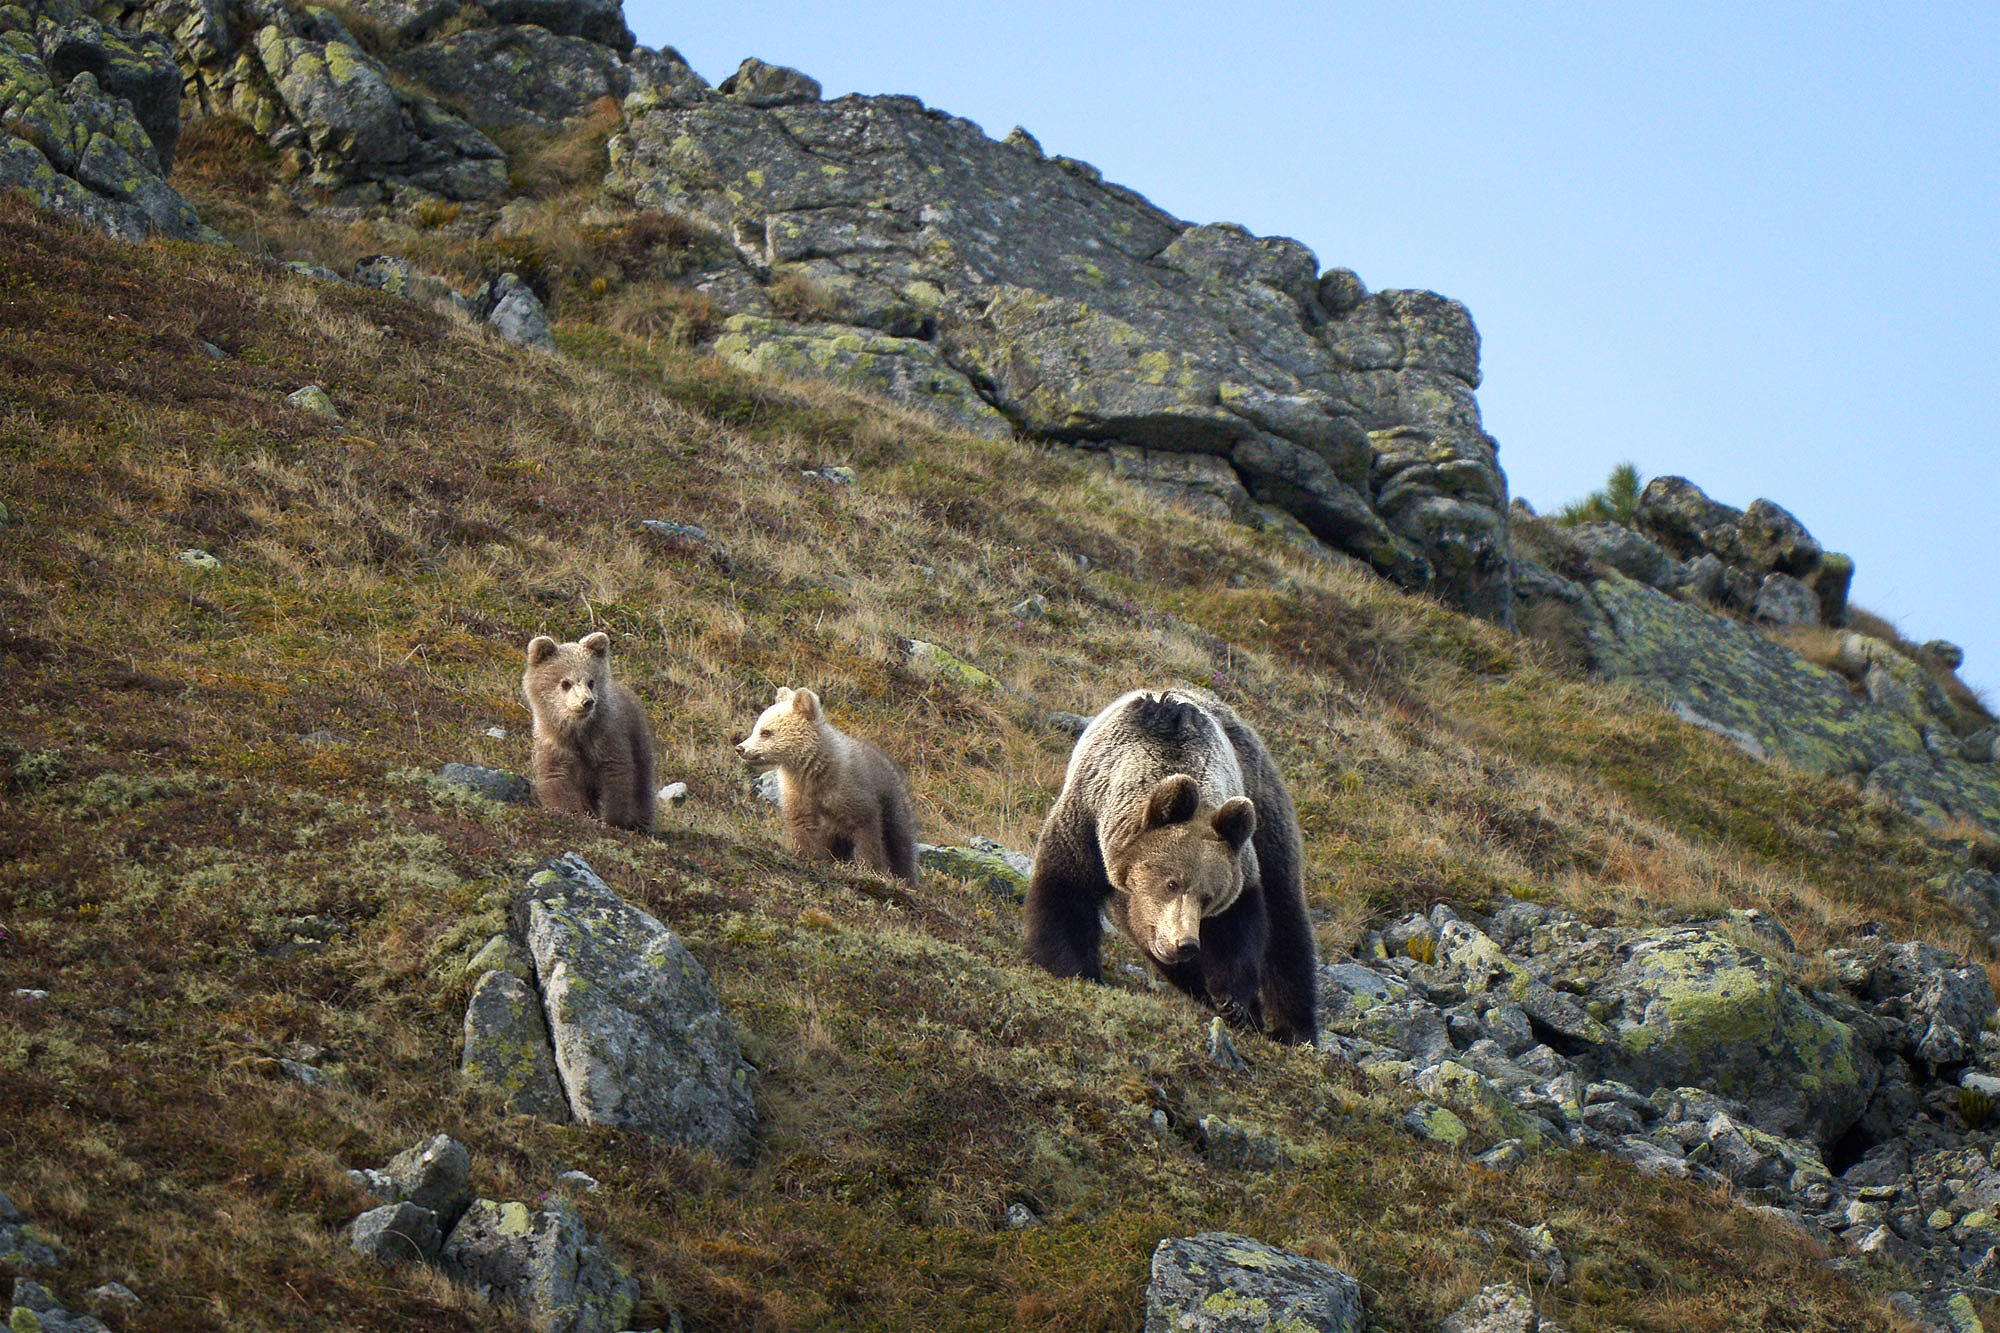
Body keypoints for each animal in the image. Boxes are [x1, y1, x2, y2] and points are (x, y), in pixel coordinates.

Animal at [524, 632, 656, 832]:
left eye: (591, 681)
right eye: (565, 683)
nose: (587, 702)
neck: (578, 730)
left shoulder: (607, 737)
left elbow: (616, 775)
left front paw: (614, 820)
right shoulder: (554, 742)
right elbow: (555, 776)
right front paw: (569, 811)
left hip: (638, 739)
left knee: (642, 783)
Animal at [740, 684, 916, 880]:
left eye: (766, 732)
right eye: (755, 729)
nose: (741, 748)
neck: (813, 771)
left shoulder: (851, 790)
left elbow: (866, 832)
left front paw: (870, 868)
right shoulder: (799, 793)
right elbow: (801, 825)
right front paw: (805, 854)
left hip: (892, 800)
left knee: (899, 841)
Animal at [1024, 684, 1320, 1040]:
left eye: (1209, 896)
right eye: (1171, 882)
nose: (1186, 944)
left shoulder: (1238, 863)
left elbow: (1238, 926)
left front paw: (1235, 1003)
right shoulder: (1086, 819)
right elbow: (1065, 890)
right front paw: (1073, 969)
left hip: (1265, 811)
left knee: (1286, 919)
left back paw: (1293, 1028)